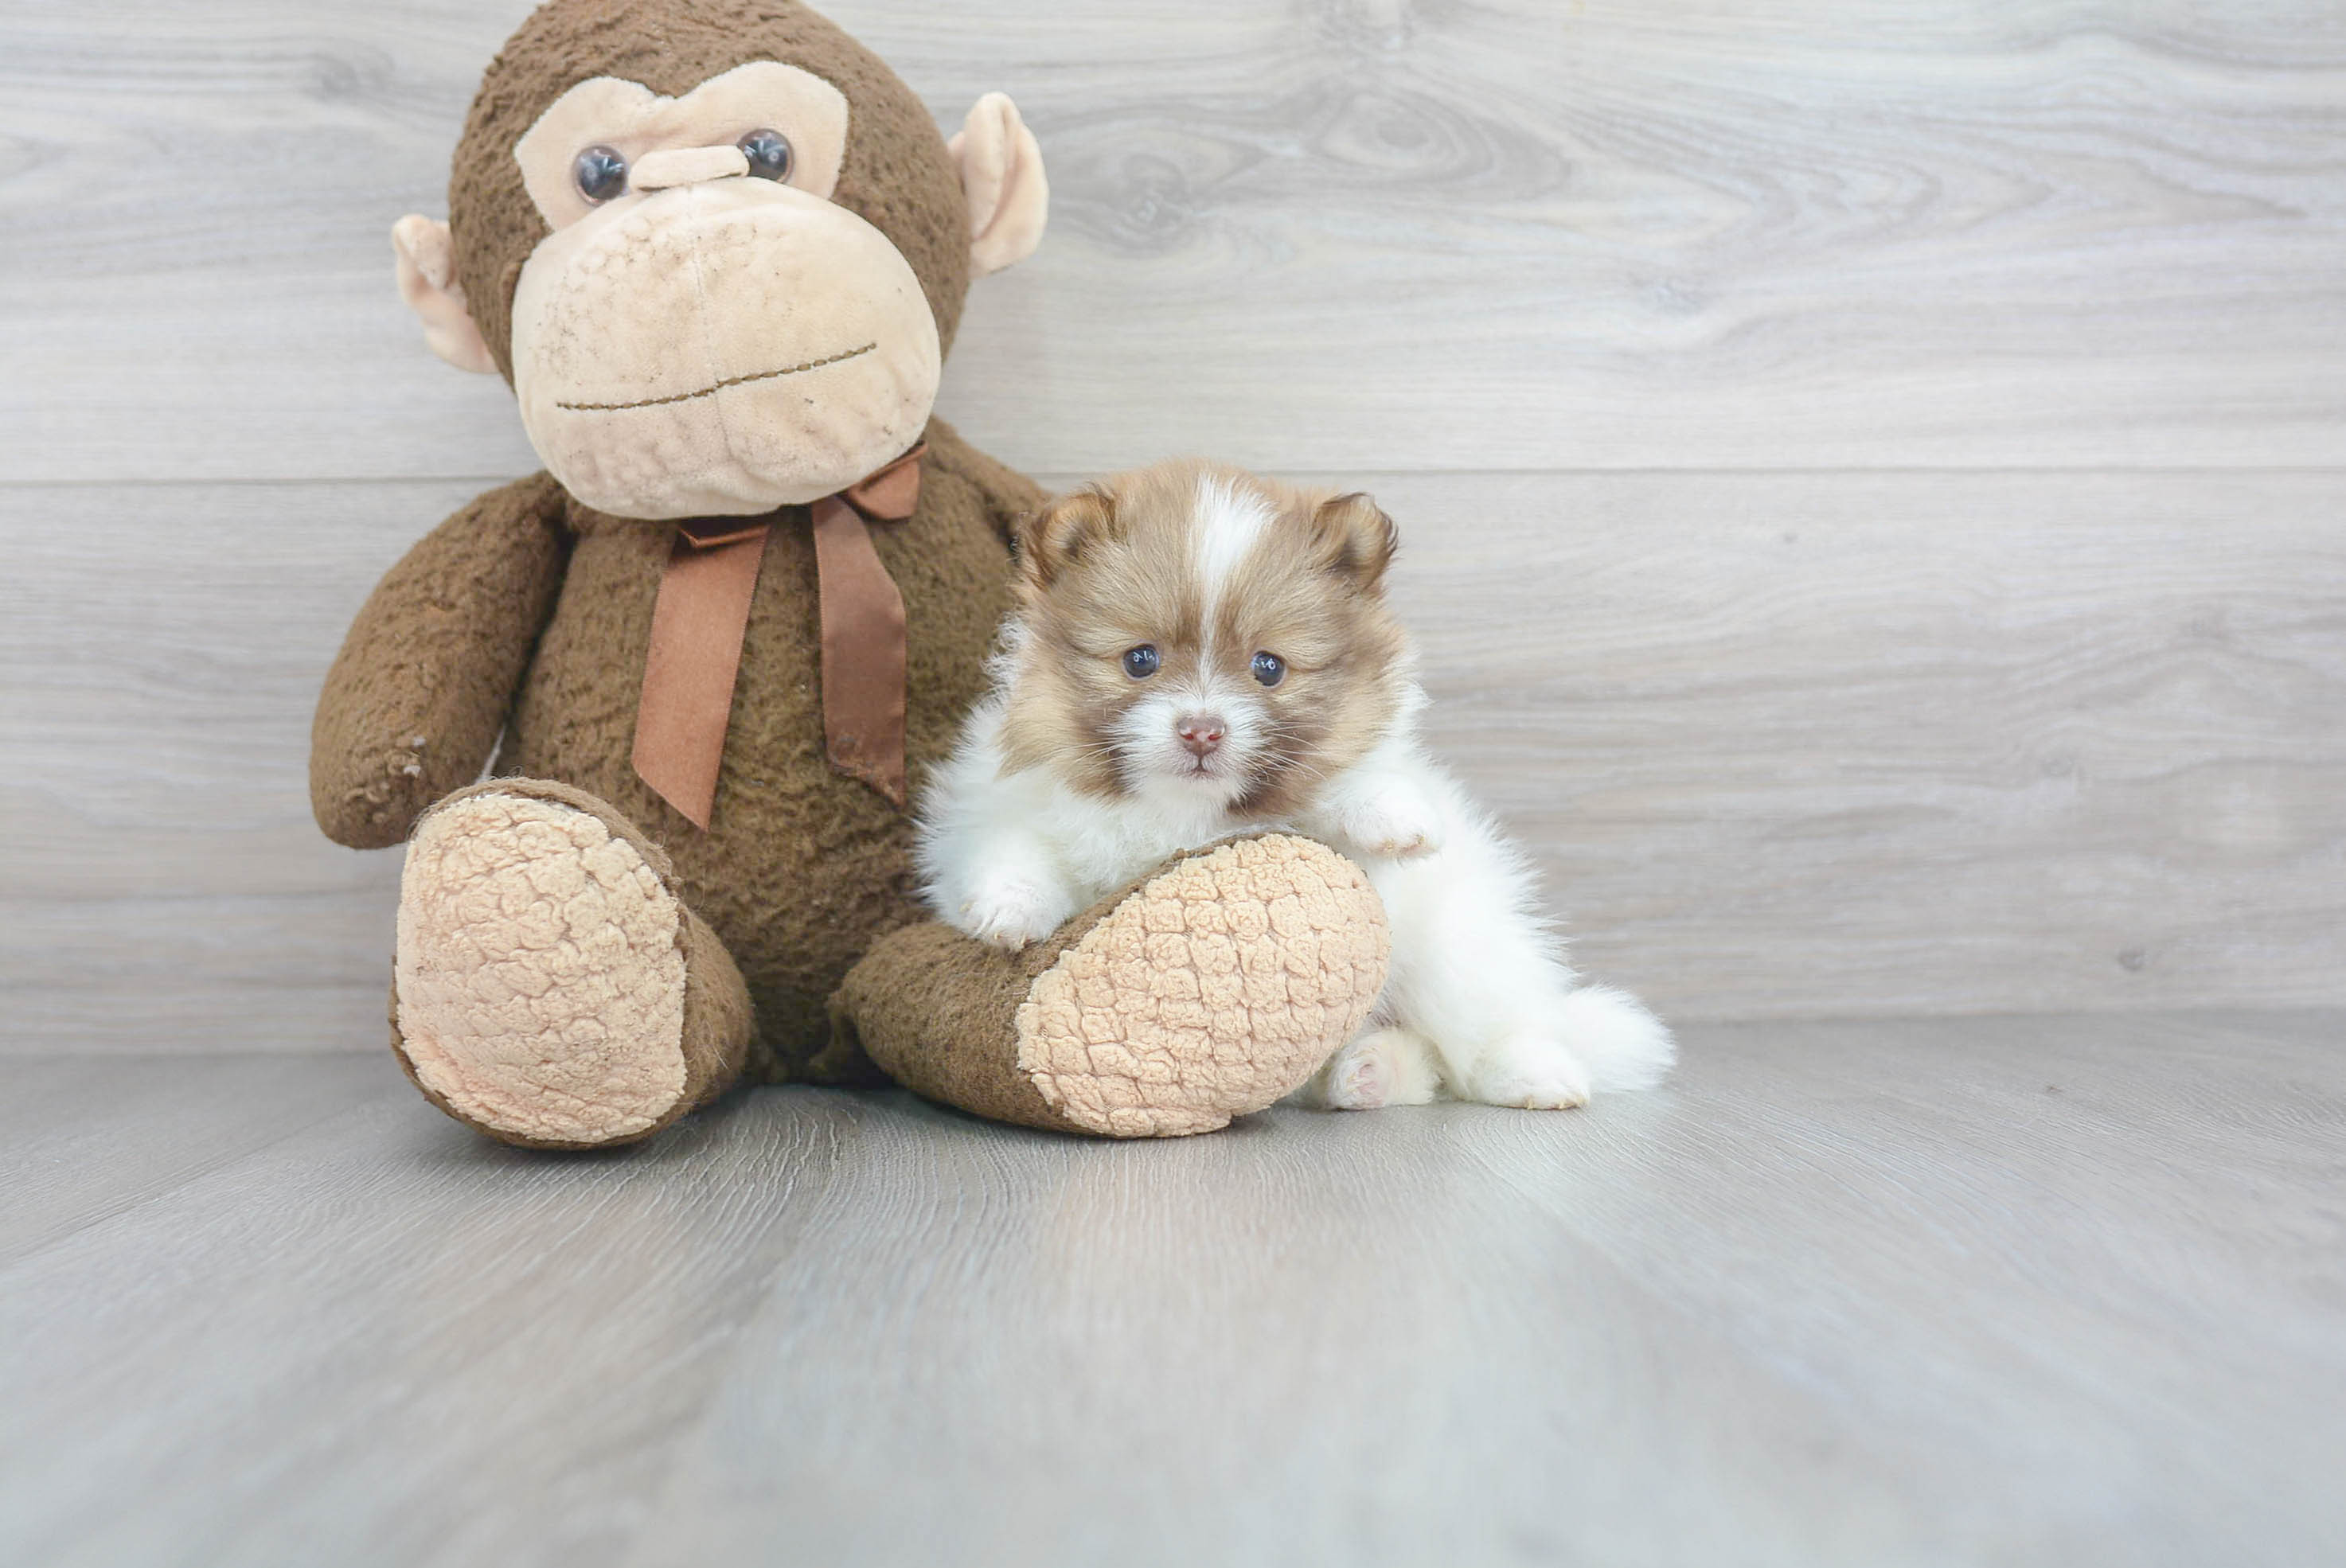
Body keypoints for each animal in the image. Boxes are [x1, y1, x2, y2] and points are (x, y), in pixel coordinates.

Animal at [910, 460, 1670, 1107]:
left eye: (1268, 668)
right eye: (1140, 660)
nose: (1202, 730)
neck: (1183, 812)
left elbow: (1339, 786)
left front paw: (1389, 812)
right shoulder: (1001, 806)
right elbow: (1011, 851)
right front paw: (1010, 912)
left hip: (1456, 946)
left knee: (1481, 1033)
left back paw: (1532, 1075)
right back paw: (1366, 1072)